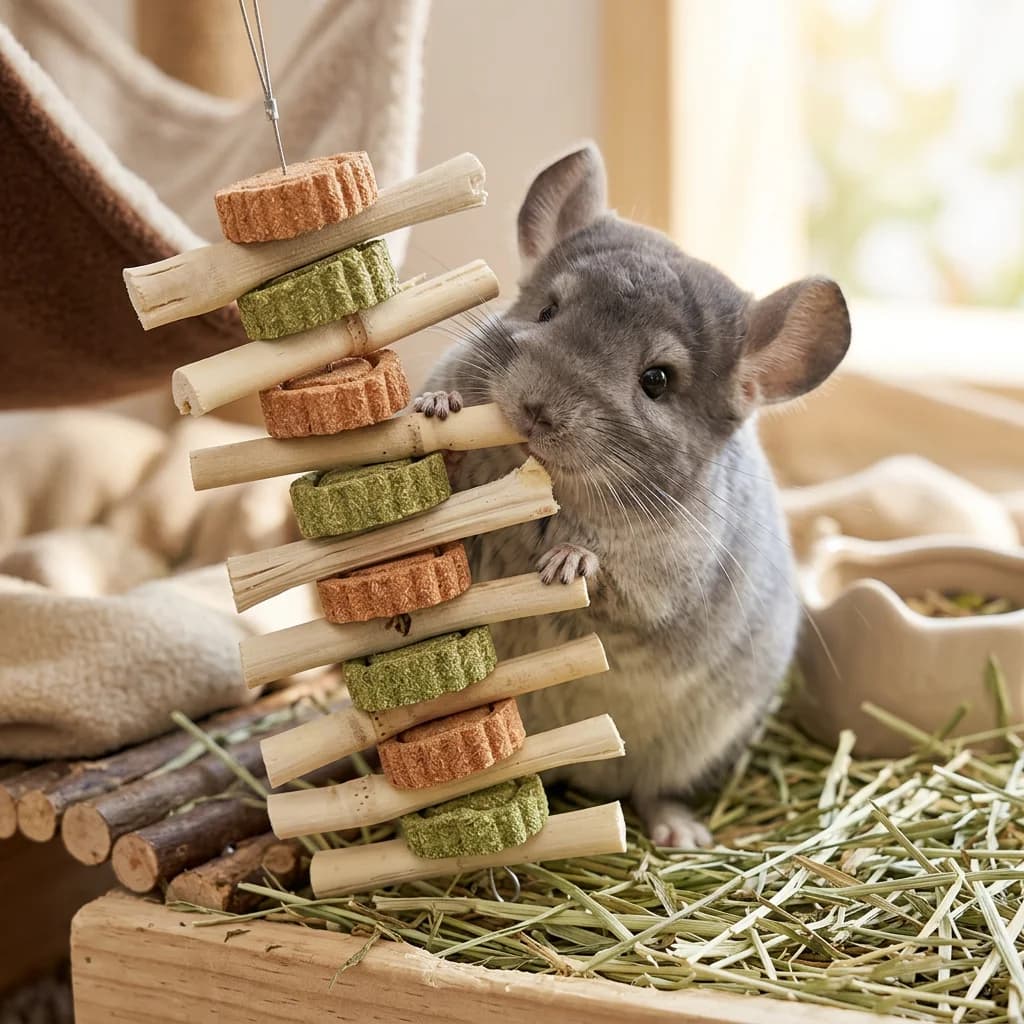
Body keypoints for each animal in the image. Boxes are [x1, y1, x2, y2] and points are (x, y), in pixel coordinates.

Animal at [415, 144, 850, 846]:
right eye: (546, 311)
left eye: (657, 380)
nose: (534, 410)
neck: (554, 490)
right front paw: (440, 409)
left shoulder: (666, 580)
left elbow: (616, 583)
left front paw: (570, 559)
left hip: (688, 752)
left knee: (653, 791)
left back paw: (680, 833)